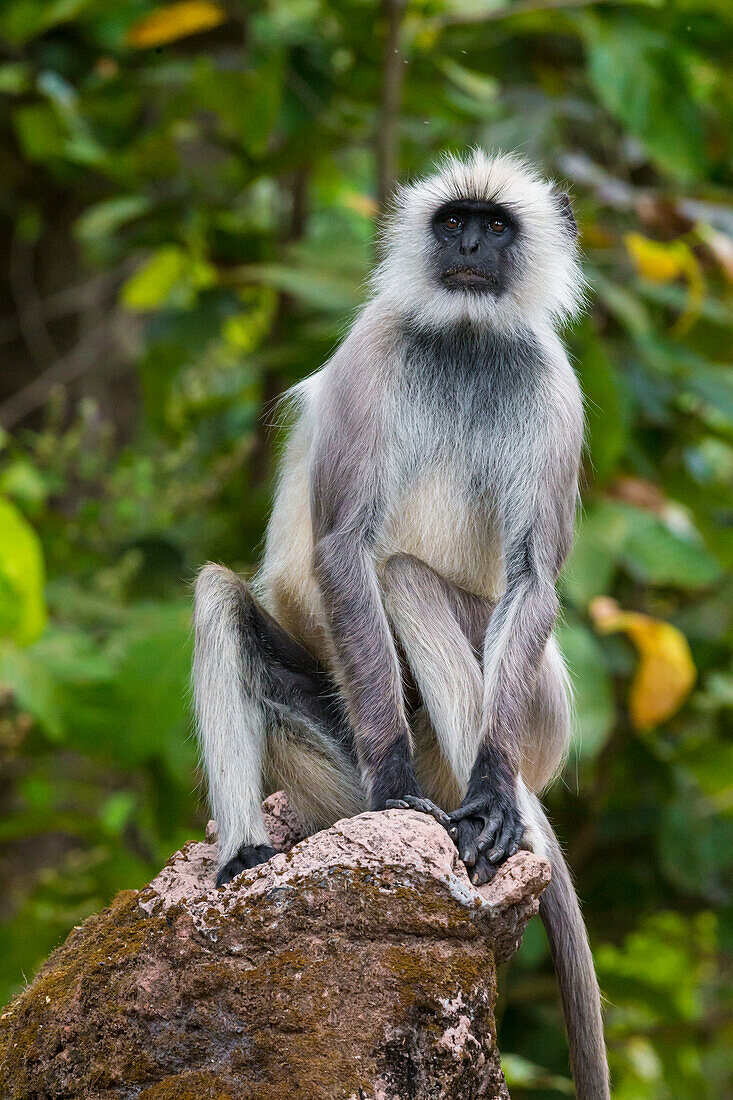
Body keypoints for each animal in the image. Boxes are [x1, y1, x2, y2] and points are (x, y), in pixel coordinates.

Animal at [191, 148, 607, 1100]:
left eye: (494, 226)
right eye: (452, 222)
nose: (468, 249)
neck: (463, 339)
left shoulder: (552, 382)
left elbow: (530, 576)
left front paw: (489, 797)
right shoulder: (374, 349)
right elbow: (343, 546)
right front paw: (389, 782)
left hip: (545, 716)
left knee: (412, 582)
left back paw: (492, 820)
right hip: (335, 770)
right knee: (225, 599)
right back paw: (248, 856)